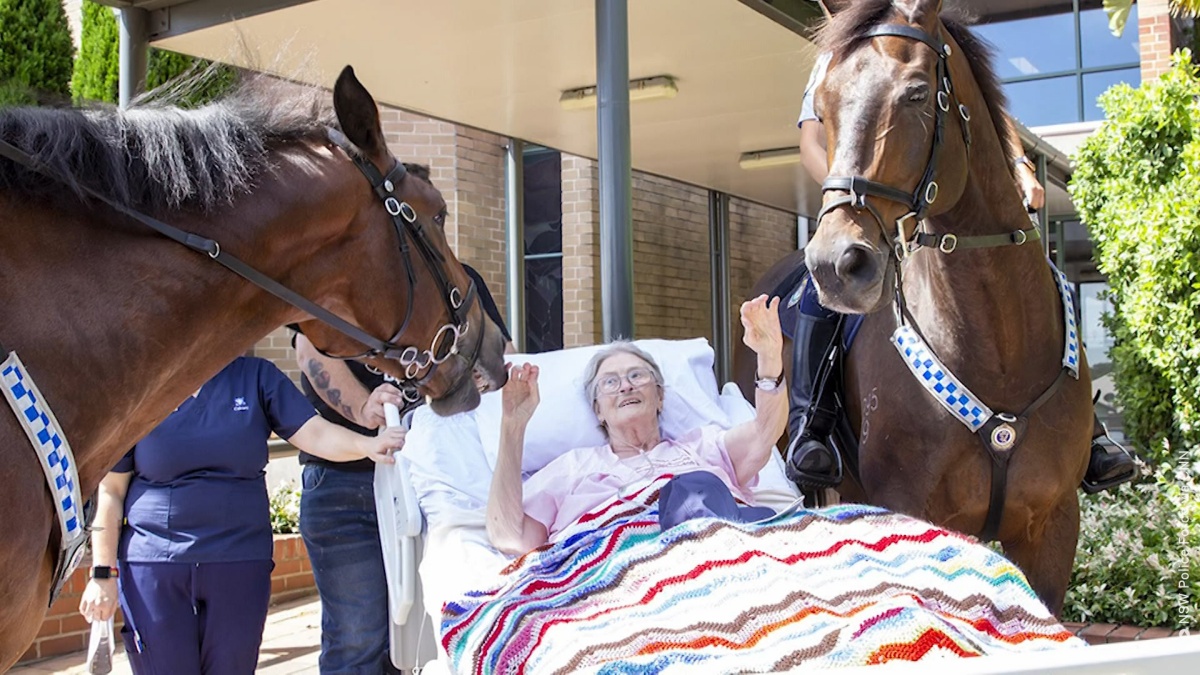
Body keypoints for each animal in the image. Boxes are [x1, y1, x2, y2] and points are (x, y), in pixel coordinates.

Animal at [734, 0, 1094, 612]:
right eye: (822, 106)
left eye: (918, 94)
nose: (837, 264)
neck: (999, 345)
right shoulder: (909, 511)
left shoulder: (1052, 523)